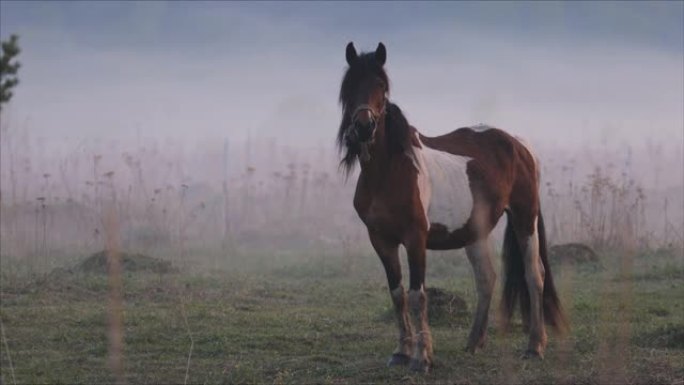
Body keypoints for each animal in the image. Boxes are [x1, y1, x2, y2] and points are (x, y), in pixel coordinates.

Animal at [336, 42, 568, 372]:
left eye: (381, 85)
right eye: (349, 85)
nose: (364, 126)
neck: (389, 172)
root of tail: (519, 143)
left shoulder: (415, 239)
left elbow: (417, 295)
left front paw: (422, 358)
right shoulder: (381, 240)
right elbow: (397, 294)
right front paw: (401, 352)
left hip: (525, 219)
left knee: (534, 274)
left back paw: (535, 346)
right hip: (475, 231)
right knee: (486, 278)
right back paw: (474, 342)